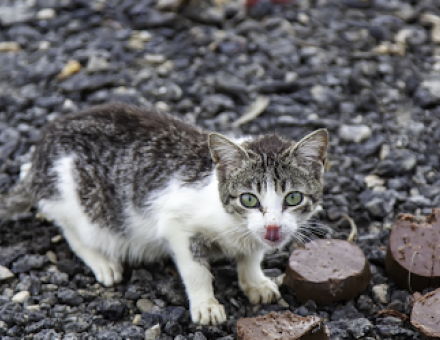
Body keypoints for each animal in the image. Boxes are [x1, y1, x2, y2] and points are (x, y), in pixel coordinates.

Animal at [0, 102, 328, 326]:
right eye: (249, 199)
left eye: (293, 198)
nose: (273, 228)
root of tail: (41, 154)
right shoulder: (176, 224)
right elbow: (195, 269)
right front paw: (206, 304)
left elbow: (251, 255)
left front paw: (255, 281)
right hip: (77, 201)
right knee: (70, 228)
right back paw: (103, 261)